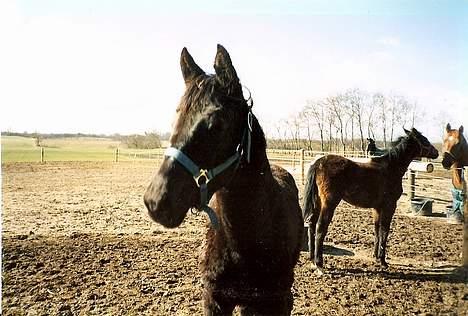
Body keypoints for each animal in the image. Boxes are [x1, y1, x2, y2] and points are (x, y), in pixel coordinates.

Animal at [304, 127, 438, 272]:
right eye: (424, 140)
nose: (436, 153)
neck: (391, 168)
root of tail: (318, 163)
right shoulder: (389, 206)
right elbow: (384, 230)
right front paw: (383, 261)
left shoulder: (377, 208)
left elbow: (377, 229)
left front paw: (376, 256)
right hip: (329, 203)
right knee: (320, 227)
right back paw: (319, 263)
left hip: (317, 202)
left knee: (311, 224)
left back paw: (312, 258)